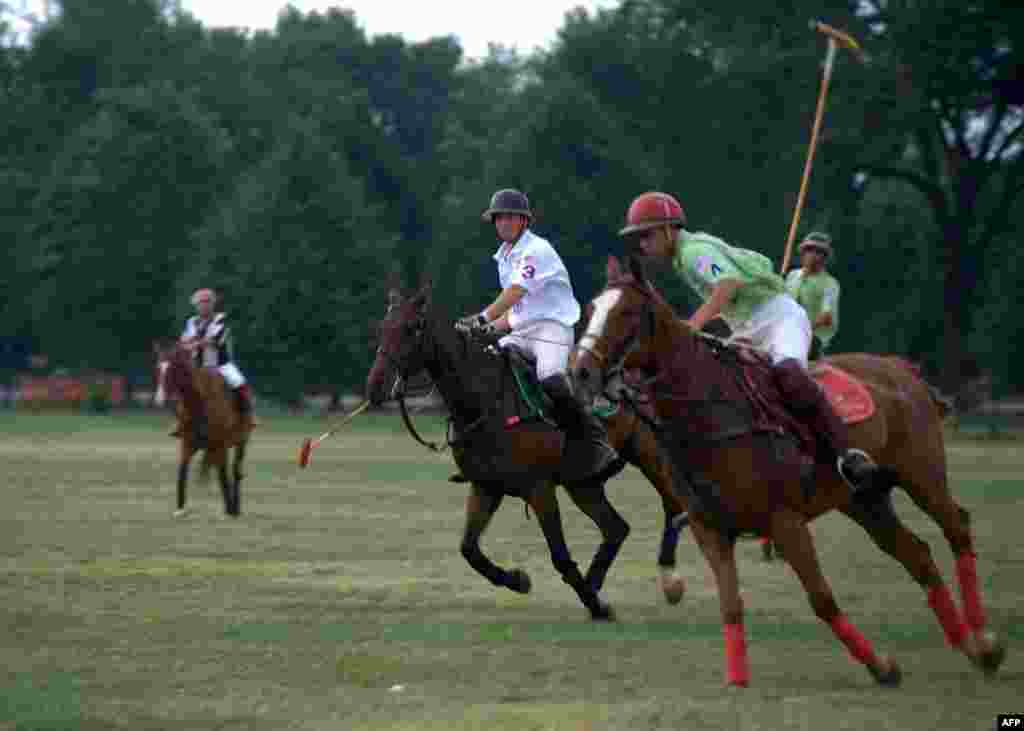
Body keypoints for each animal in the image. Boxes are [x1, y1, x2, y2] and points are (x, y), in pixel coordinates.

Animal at [154, 337, 252, 516]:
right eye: (158, 368)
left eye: (172, 369)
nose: (159, 399)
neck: (198, 402)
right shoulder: (188, 444)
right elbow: (182, 471)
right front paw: (180, 507)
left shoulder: (220, 444)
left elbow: (223, 474)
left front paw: (229, 508)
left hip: (241, 441)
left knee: (235, 471)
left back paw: (235, 507)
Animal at [364, 284, 692, 614]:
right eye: (382, 327)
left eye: (410, 328)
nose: (375, 387)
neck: (484, 400)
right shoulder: (486, 486)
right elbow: (469, 549)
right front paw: (519, 580)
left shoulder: (539, 488)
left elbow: (559, 555)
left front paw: (596, 605)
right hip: (582, 482)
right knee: (616, 528)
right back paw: (594, 584)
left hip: (651, 456)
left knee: (674, 506)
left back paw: (668, 581)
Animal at [569, 254, 1007, 683]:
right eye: (590, 309)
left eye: (627, 312)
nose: (579, 371)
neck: (709, 412)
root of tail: (902, 370)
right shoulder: (709, 528)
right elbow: (731, 604)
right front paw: (739, 678)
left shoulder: (785, 520)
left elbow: (822, 598)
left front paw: (881, 666)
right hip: (863, 500)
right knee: (916, 554)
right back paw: (969, 646)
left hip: (921, 473)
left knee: (955, 525)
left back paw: (985, 641)